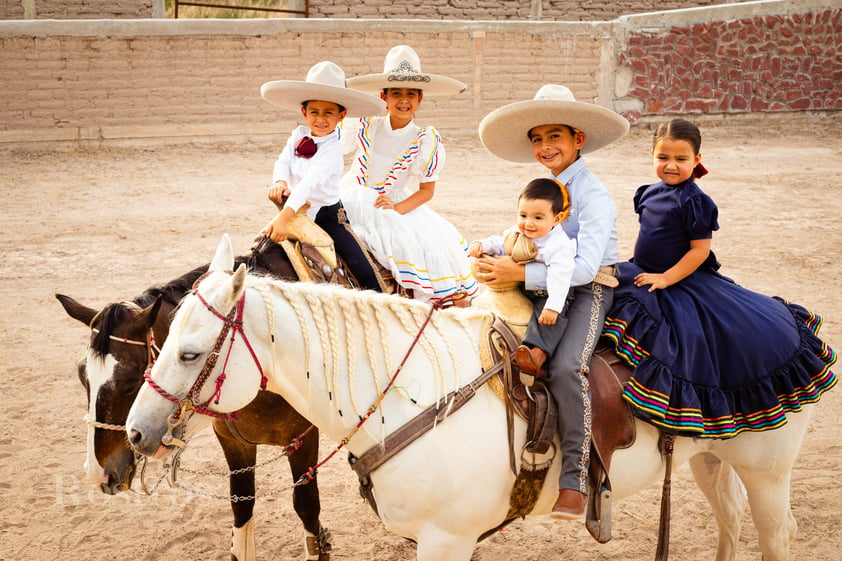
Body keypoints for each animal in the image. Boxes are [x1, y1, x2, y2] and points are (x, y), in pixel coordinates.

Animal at [56, 238, 328, 560]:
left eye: (131, 381)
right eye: (81, 373)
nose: (99, 473)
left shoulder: (303, 439)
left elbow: (307, 507)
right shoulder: (233, 442)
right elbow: (241, 507)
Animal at [126, 235, 812, 560]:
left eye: (190, 354)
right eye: (161, 343)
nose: (135, 432)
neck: (408, 400)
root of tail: (782, 309)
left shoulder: (446, 540)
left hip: (768, 473)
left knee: (776, 537)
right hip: (709, 458)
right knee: (728, 519)